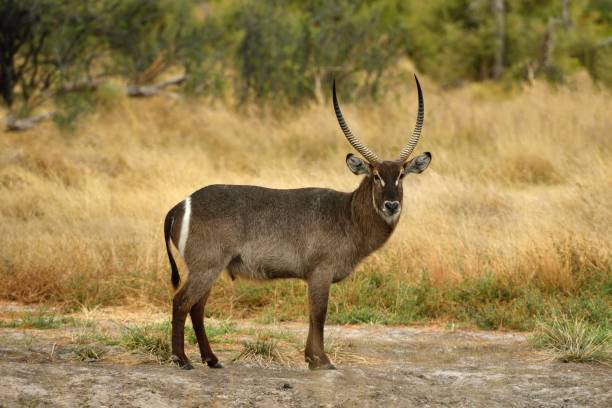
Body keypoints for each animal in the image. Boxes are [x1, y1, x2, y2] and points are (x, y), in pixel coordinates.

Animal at [163, 75, 430, 370]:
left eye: (402, 175)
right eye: (375, 176)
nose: (391, 205)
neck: (348, 214)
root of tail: (180, 204)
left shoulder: (314, 276)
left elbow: (312, 315)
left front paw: (311, 358)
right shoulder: (321, 271)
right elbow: (319, 314)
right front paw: (321, 360)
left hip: (211, 267)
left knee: (197, 308)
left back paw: (211, 359)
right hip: (206, 266)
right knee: (181, 302)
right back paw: (182, 359)